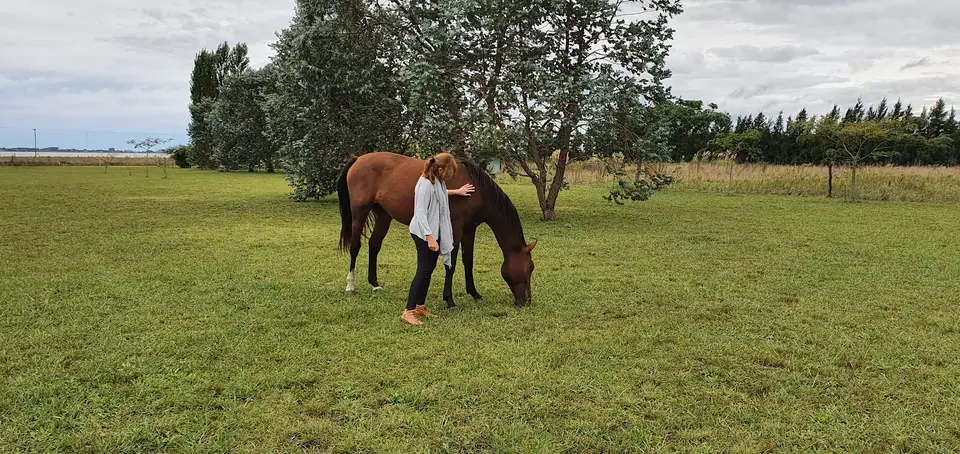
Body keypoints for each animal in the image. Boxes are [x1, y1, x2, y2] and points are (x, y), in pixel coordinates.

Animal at [336, 152, 536, 308]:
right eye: (531, 268)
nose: (526, 301)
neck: (476, 190)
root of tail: (358, 159)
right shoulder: (455, 227)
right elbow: (451, 262)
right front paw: (449, 300)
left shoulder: (470, 229)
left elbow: (468, 261)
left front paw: (474, 293)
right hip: (359, 212)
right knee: (355, 247)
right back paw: (350, 286)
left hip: (384, 215)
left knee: (374, 245)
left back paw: (375, 284)